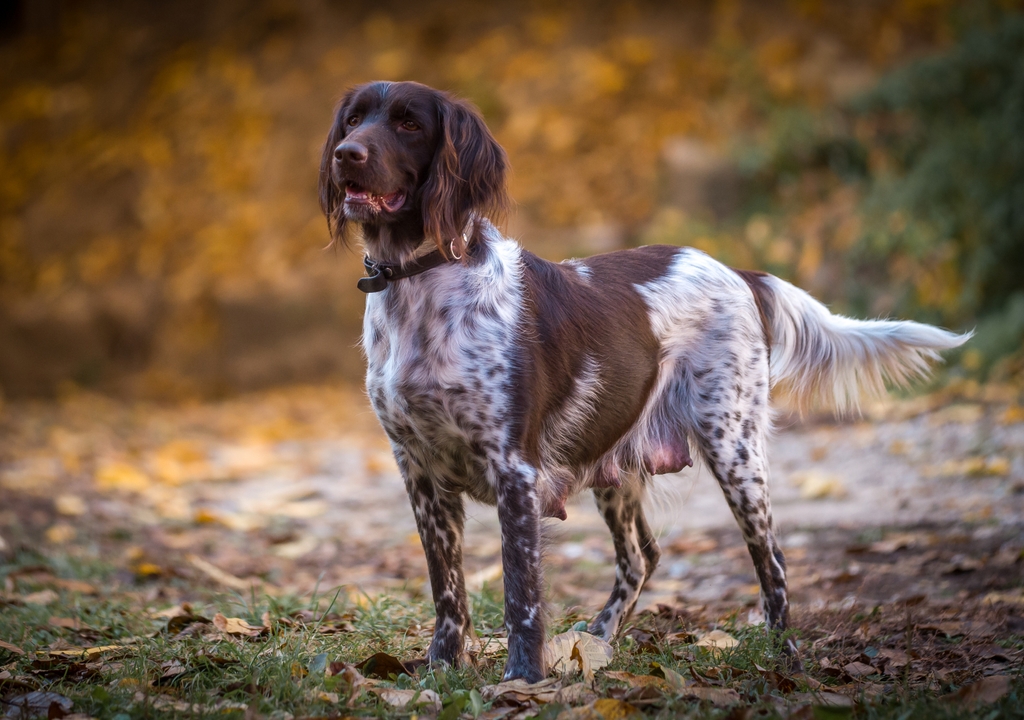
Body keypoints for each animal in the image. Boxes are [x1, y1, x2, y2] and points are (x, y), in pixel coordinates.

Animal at [315, 80, 970, 680]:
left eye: (408, 124)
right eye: (353, 119)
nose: (347, 153)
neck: (420, 283)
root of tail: (739, 271)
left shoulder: (513, 468)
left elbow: (520, 595)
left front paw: (523, 682)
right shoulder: (417, 469)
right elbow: (446, 590)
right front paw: (441, 672)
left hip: (735, 451)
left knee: (774, 563)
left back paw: (784, 659)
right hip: (615, 460)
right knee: (641, 557)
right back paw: (596, 645)